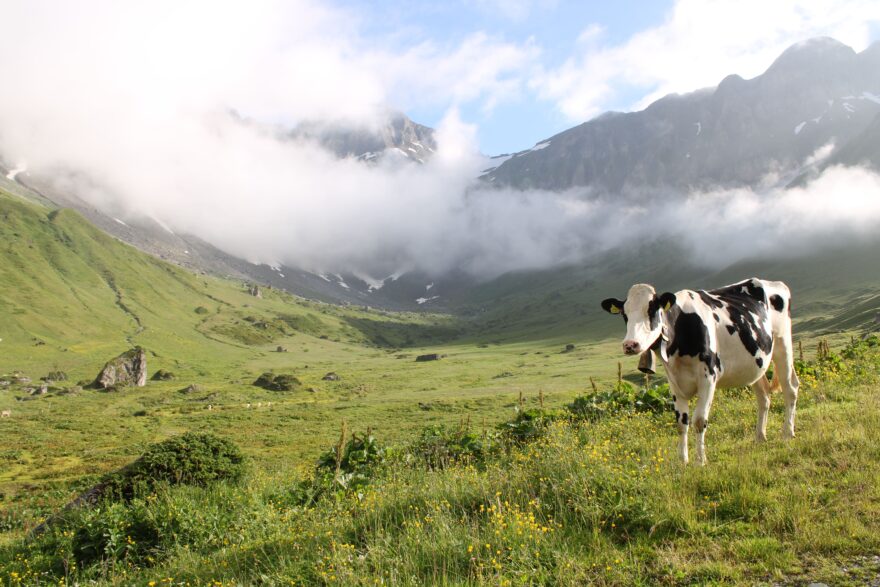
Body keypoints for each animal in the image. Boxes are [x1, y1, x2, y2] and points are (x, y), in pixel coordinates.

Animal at [600, 278, 800, 466]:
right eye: (624, 314)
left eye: (651, 310)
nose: (630, 345)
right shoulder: (674, 383)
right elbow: (681, 423)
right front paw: (683, 460)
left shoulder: (708, 377)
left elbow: (699, 420)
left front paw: (700, 460)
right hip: (756, 362)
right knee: (764, 396)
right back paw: (760, 436)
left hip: (783, 344)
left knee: (790, 388)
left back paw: (787, 432)